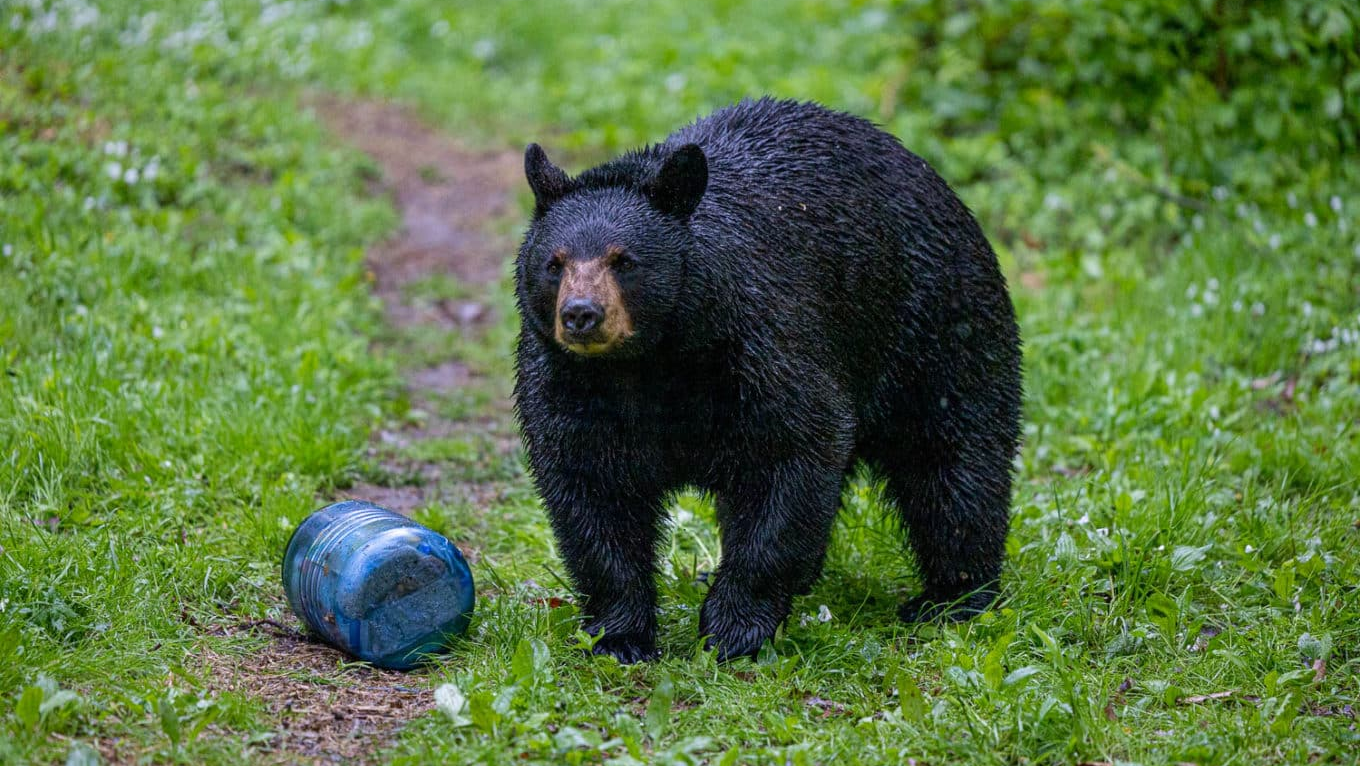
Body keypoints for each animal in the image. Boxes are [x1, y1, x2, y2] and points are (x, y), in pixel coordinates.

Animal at [512, 97, 1022, 663]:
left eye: (624, 260)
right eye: (555, 263)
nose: (581, 314)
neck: (651, 363)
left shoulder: (761, 345)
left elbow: (791, 456)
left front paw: (734, 629)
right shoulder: (568, 381)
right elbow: (590, 489)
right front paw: (620, 637)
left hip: (938, 324)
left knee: (953, 463)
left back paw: (953, 597)